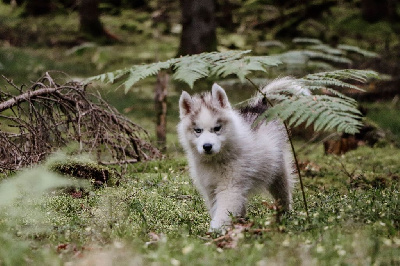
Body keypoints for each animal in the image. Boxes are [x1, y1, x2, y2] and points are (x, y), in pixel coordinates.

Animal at [177, 78, 296, 230]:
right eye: (198, 130)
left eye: (217, 128)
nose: (207, 146)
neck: (216, 160)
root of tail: (260, 105)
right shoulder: (211, 189)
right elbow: (217, 208)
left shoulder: (230, 187)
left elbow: (223, 211)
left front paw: (215, 231)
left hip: (277, 171)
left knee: (283, 193)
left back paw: (285, 216)